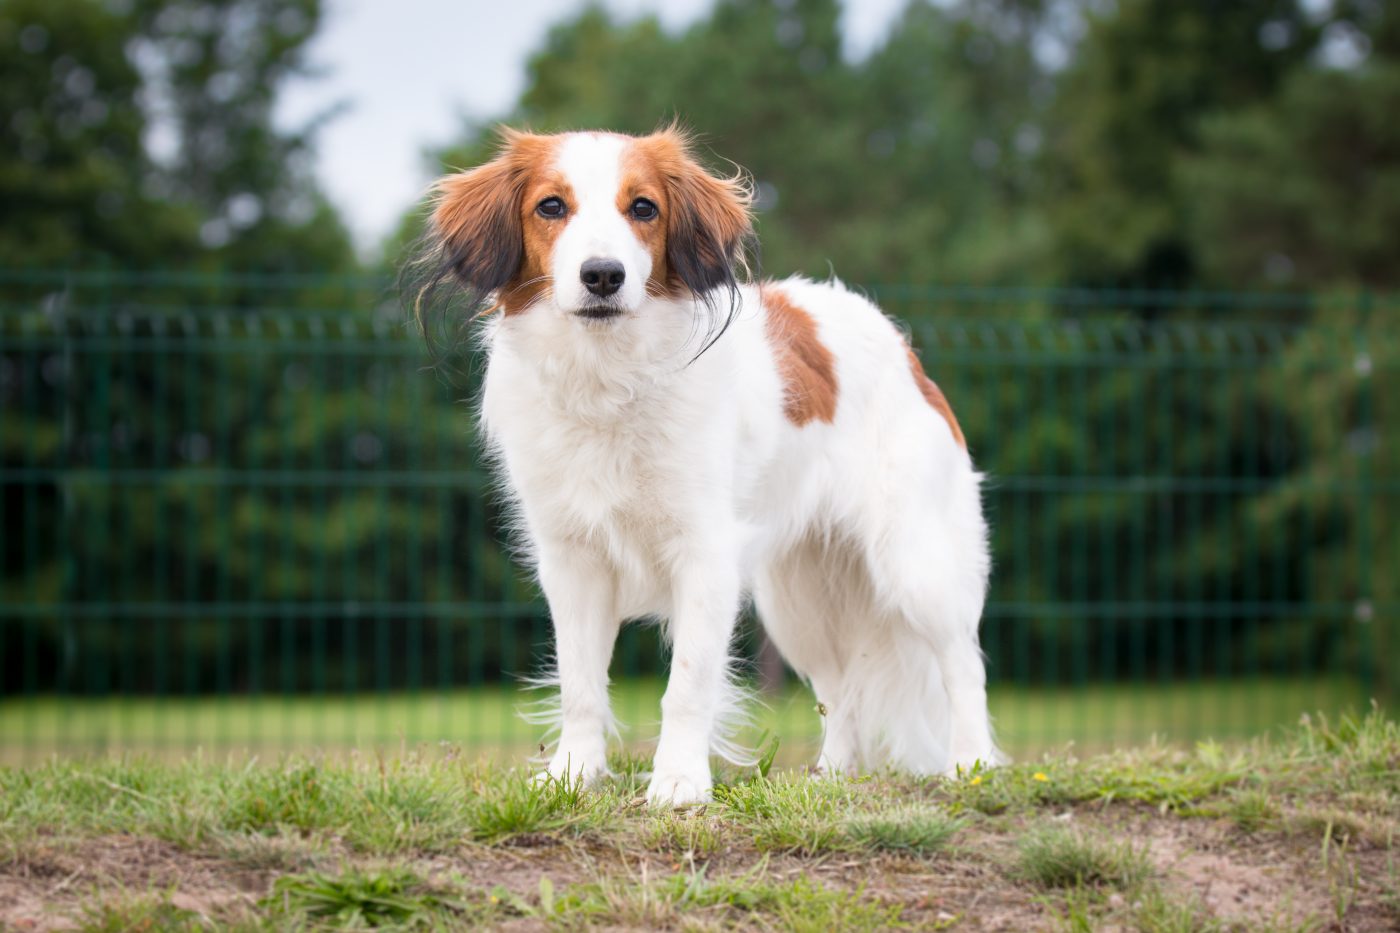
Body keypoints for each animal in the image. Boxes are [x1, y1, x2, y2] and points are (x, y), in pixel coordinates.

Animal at [408, 125, 1002, 806]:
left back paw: (971, 763)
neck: (609, 378)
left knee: (962, 664)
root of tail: (904, 347)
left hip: (914, 564)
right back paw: (832, 776)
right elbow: (580, 683)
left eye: (644, 208)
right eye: (550, 207)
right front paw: (573, 775)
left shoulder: (706, 556)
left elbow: (687, 686)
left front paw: (679, 782)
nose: (603, 275)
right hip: (798, 601)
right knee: (841, 689)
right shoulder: (573, 561)